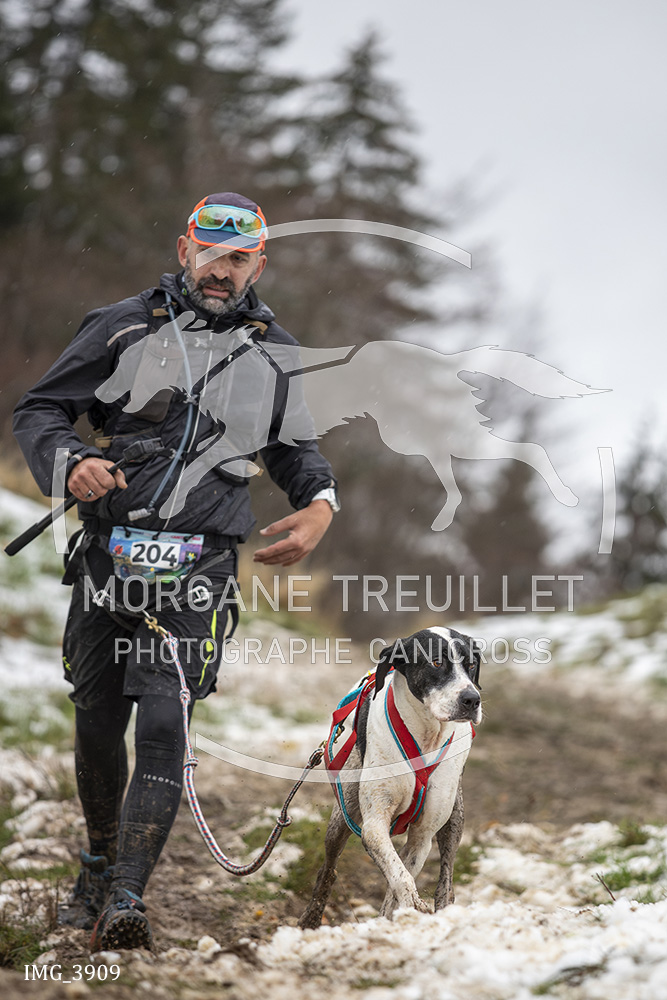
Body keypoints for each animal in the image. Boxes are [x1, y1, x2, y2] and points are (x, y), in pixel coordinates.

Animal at [300, 626, 482, 928]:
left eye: (471, 665)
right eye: (436, 662)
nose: (472, 699)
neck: (426, 735)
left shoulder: (422, 837)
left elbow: (399, 880)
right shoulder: (374, 826)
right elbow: (400, 878)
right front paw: (409, 907)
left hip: (455, 817)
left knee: (446, 878)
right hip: (342, 813)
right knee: (328, 868)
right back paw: (311, 917)